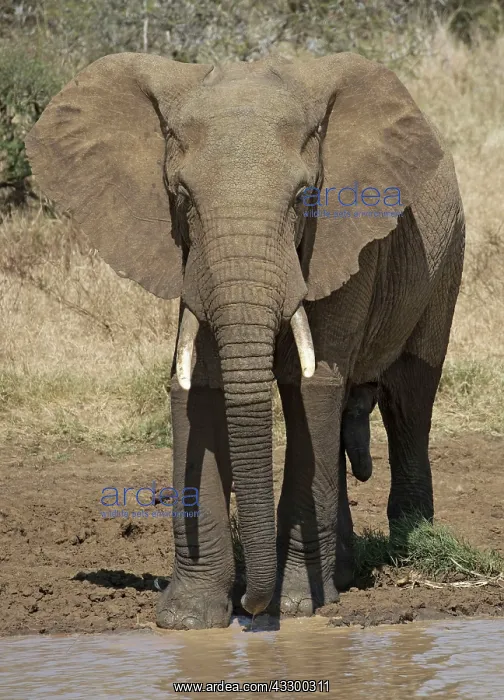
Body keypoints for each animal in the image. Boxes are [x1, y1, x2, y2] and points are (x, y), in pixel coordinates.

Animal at [25, 50, 465, 629]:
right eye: (182, 197)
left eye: (303, 198)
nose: (251, 607)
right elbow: (199, 386)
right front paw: (187, 619)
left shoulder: (341, 235)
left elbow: (313, 387)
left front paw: (297, 607)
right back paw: (342, 576)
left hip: (445, 258)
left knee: (409, 401)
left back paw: (412, 545)